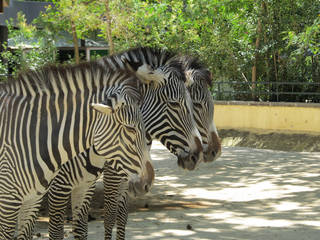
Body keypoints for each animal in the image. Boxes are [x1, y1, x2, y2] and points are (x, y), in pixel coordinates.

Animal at [0, 61, 154, 239]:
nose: (148, 182)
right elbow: (56, 233)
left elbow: (82, 230)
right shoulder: (44, 193)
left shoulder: (79, 189)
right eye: (130, 128)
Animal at [47, 47, 204, 240]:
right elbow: (108, 216)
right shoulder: (62, 186)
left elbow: (119, 217)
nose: (197, 155)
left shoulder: (108, 180)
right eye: (174, 104)